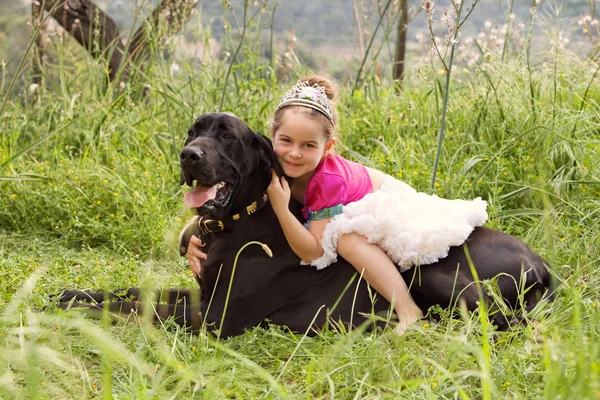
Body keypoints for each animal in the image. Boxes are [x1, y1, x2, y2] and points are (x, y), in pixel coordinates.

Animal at [57, 112, 556, 338]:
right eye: (193, 132)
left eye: (227, 137)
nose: (189, 155)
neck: (240, 219)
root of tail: (543, 263)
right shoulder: (203, 293)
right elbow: (133, 290)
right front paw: (72, 294)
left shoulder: (216, 317)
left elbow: (139, 307)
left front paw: (79, 314)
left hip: (432, 275)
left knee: (499, 319)